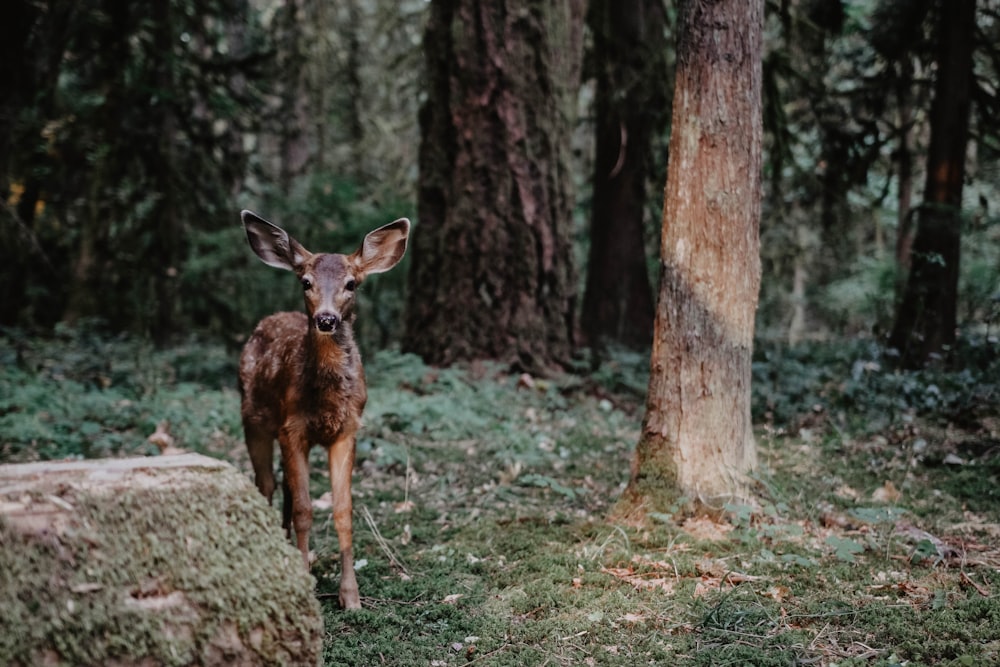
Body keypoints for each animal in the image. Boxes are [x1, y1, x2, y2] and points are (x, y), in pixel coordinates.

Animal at [238, 210, 410, 612]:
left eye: (351, 283)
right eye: (306, 282)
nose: (327, 319)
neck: (327, 401)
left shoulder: (348, 429)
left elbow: (343, 510)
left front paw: (351, 596)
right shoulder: (292, 428)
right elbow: (304, 509)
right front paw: (305, 582)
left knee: (282, 486)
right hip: (253, 420)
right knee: (266, 485)